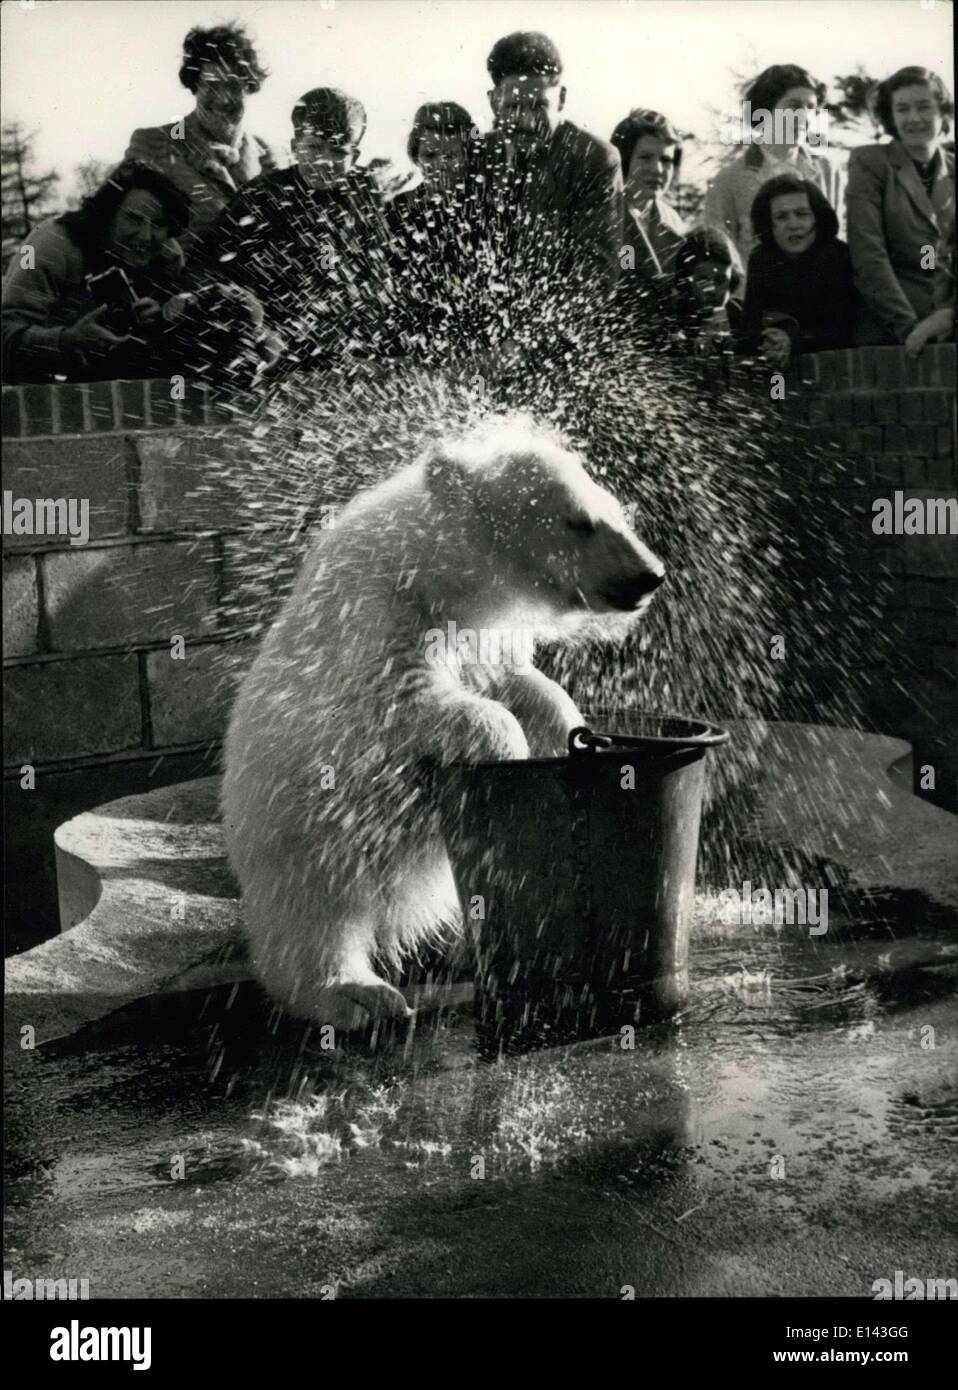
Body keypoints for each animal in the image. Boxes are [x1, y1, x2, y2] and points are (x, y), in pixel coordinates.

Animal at [221, 422, 661, 1034]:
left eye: (616, 510)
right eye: (579, 520)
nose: (649, 576)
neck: (433, 571)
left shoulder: (484, 639)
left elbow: (524, 685)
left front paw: (565, 735)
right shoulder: (379, 616)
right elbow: (408, 704)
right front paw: (508, 762)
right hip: (300, 834)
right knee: (315, 917)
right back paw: (356, 995)